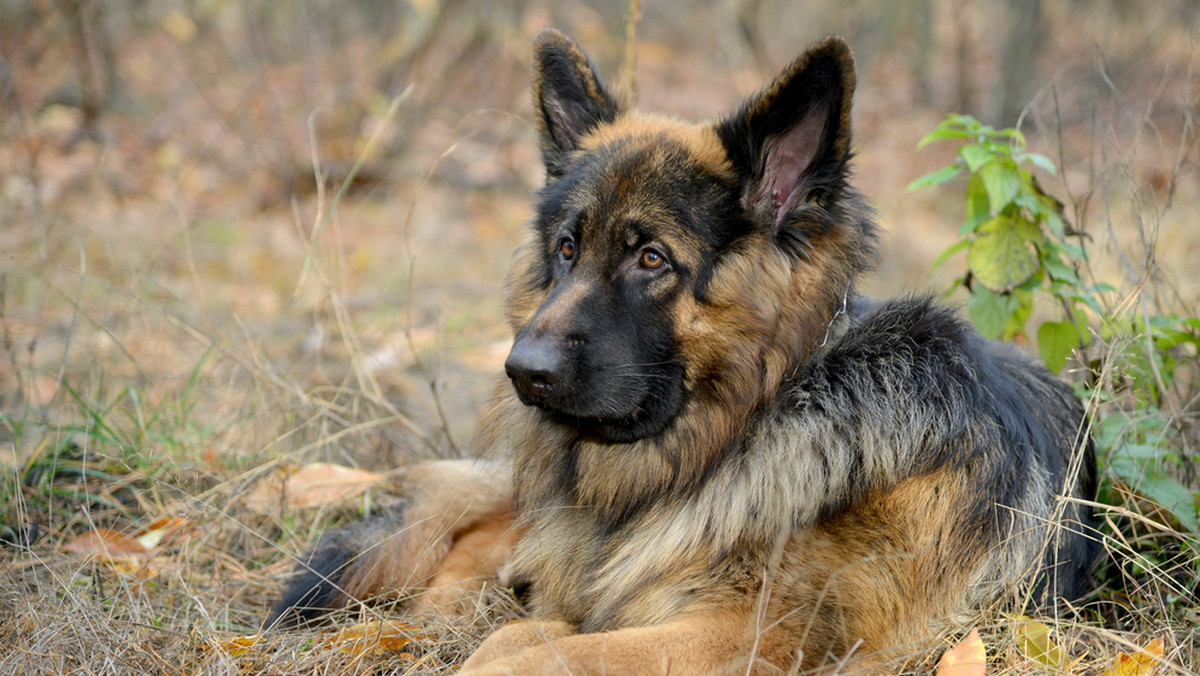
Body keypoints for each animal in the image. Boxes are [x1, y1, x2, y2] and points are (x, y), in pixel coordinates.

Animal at [272, 30, 1099, 672]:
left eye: (652, 259)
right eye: (567, 249)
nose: (522, 373)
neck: (756, 420)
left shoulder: (739, 636)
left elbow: (532, 652)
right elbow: (515, 637)